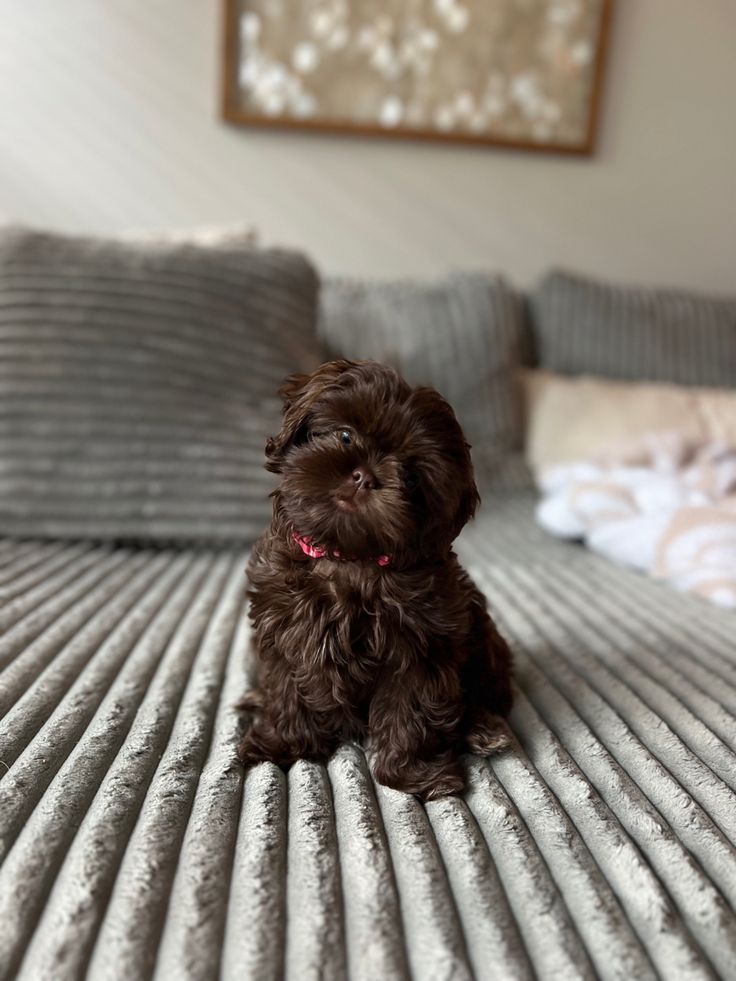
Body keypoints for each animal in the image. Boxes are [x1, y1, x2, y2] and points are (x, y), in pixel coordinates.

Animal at [239, 362, 516, 804]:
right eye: (345, 435)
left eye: (412, 478)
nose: (365, 476)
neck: (348, 557)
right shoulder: (284, 631)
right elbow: (287, 690)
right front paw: (283, 742)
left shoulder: (421, 646)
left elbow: (410, 709)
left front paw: (415, 775)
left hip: (484, 637)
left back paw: (483, 729)